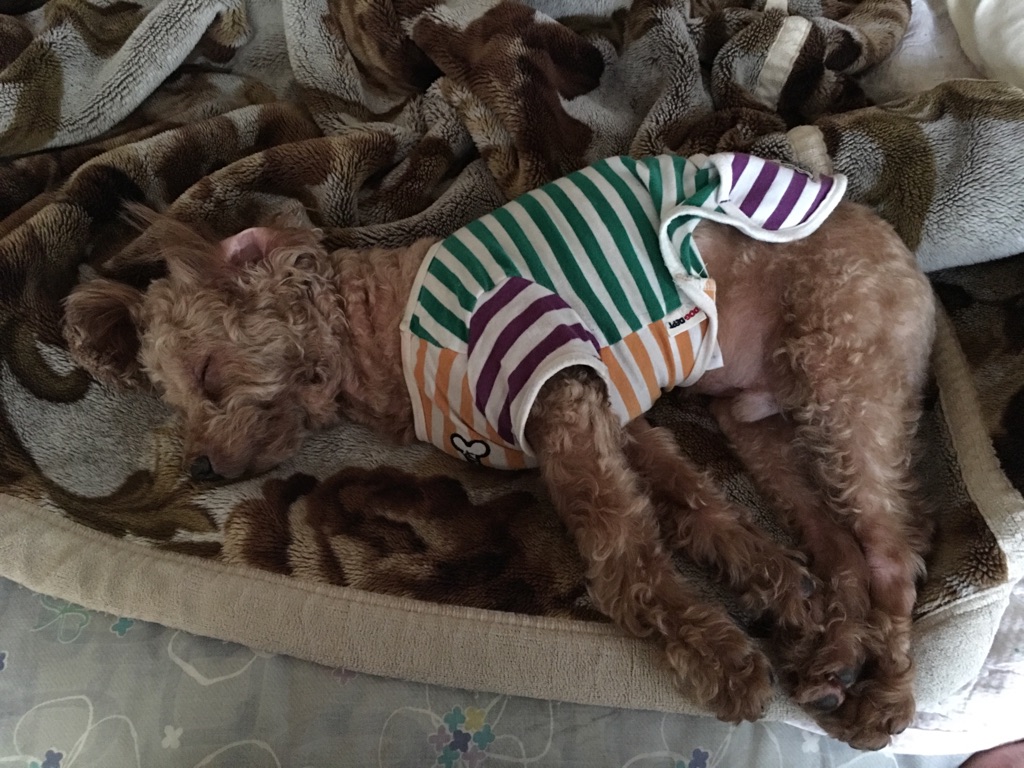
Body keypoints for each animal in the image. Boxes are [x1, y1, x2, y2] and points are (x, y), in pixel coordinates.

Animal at [63, 153, 936, 749]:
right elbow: (700, 510)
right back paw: (830, 657)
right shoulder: (610, 411)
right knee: (842, 553)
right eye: (173, 400)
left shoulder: (558, 391)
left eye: (209, 377)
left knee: (893, 556)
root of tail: (901, 250)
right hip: (759, 427)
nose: (203, 467)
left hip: (841, 371)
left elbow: (625, 560)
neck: (380, 333)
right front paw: (777, 593)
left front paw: (717, 656)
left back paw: (887, 699)